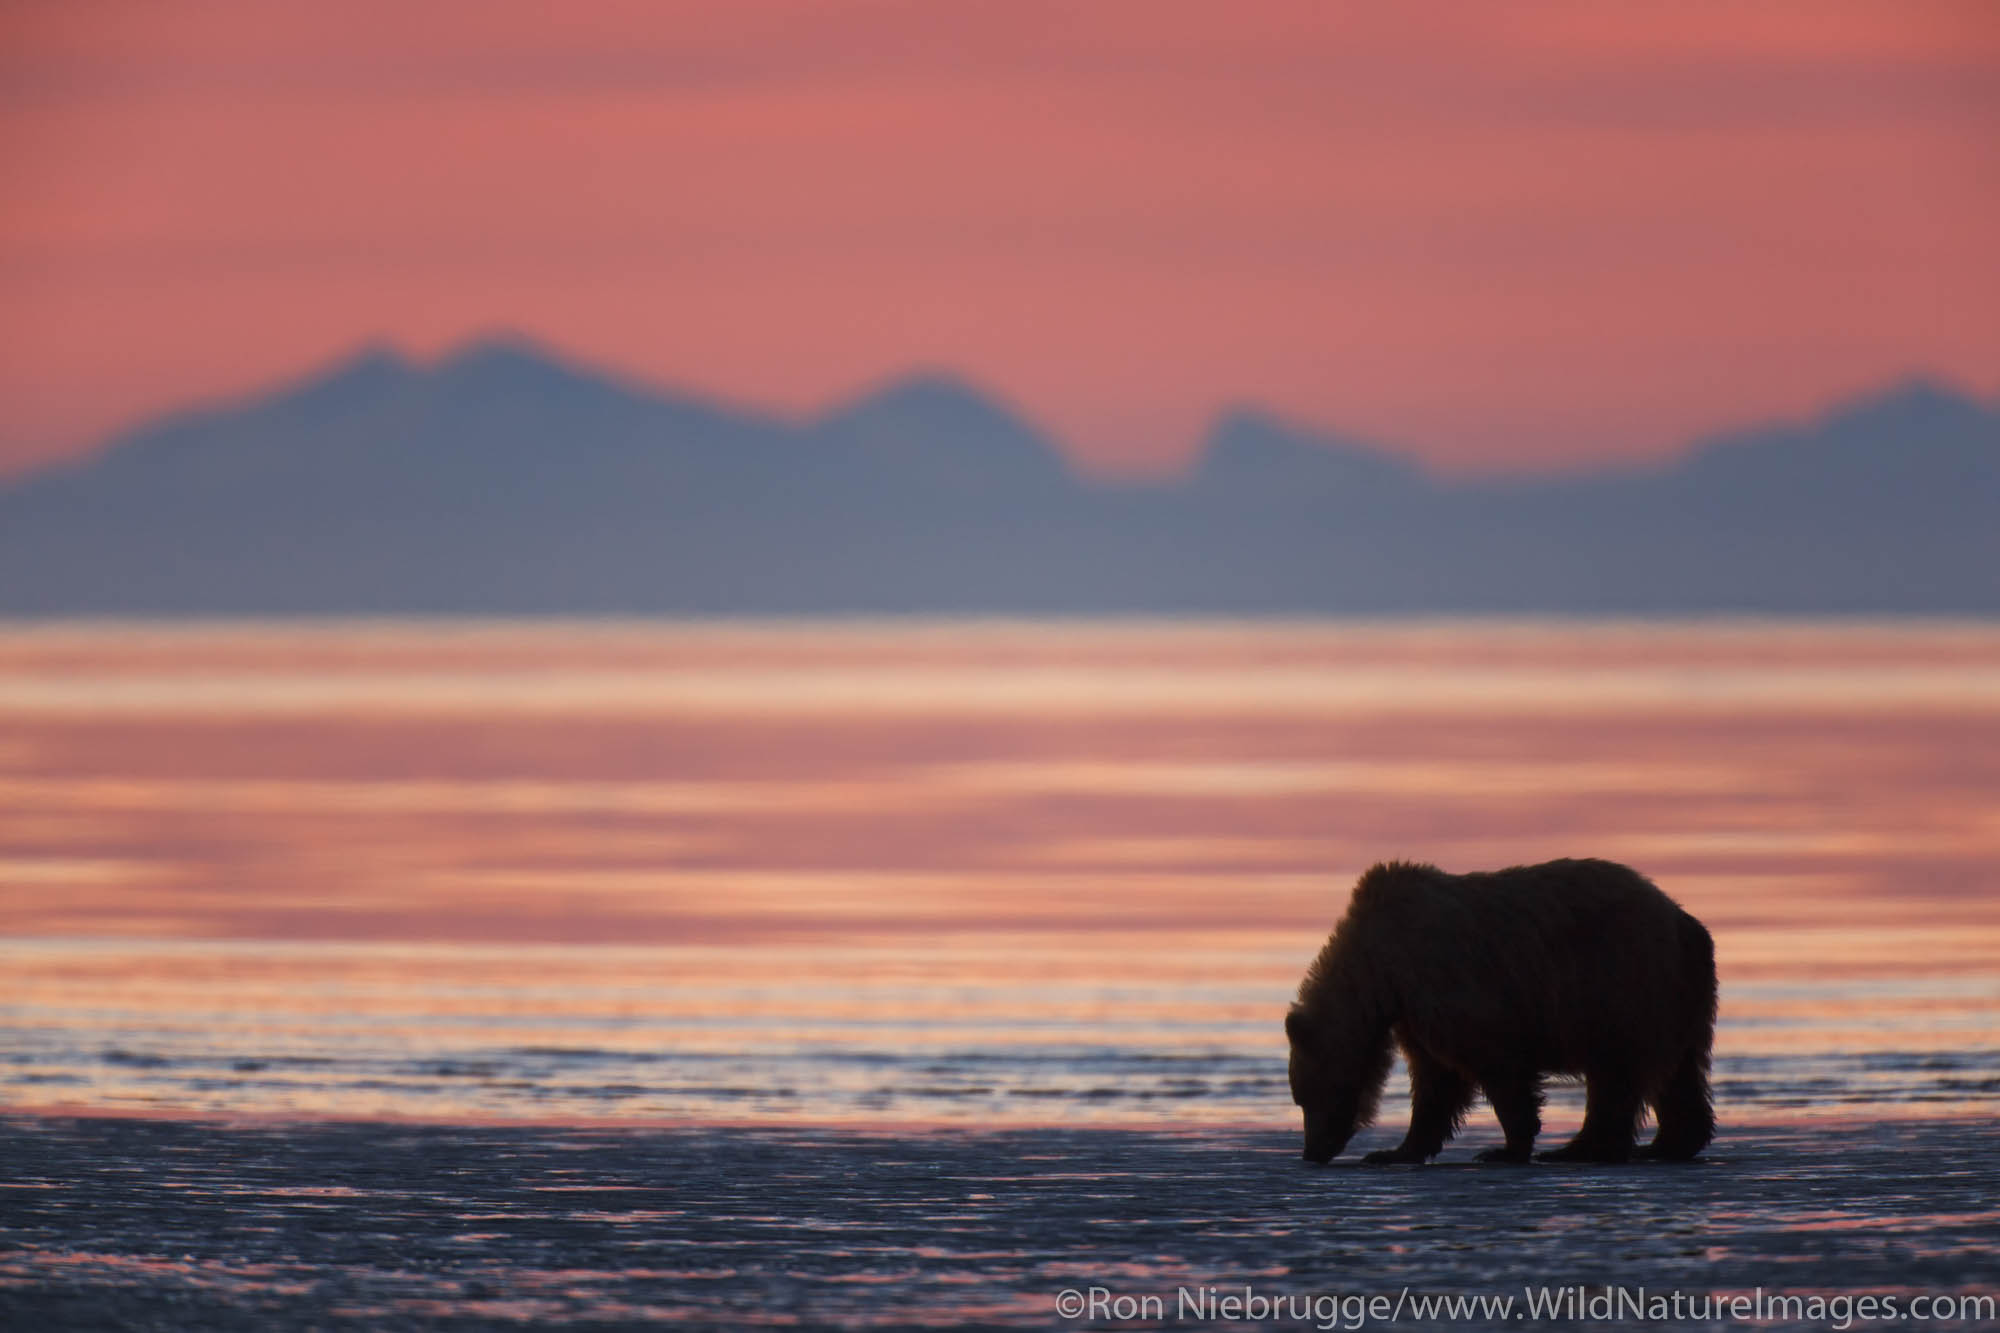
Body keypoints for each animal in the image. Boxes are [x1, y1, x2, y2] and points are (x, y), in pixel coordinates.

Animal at [1288, 856, 1712, 1160]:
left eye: (1305, 1095)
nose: (1312, 1151)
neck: (1382, 969)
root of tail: (1683, 920)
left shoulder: (1446, 985)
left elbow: (1489, 1064)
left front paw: (1504, 1148)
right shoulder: (1413, 1011)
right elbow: (1435, 1078)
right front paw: (1396, 1151)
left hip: (1619, 983)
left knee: (1616, 1073)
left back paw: (1582, 1148)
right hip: (1677, 999)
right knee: (1680, 1071)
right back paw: (1671, 1142)